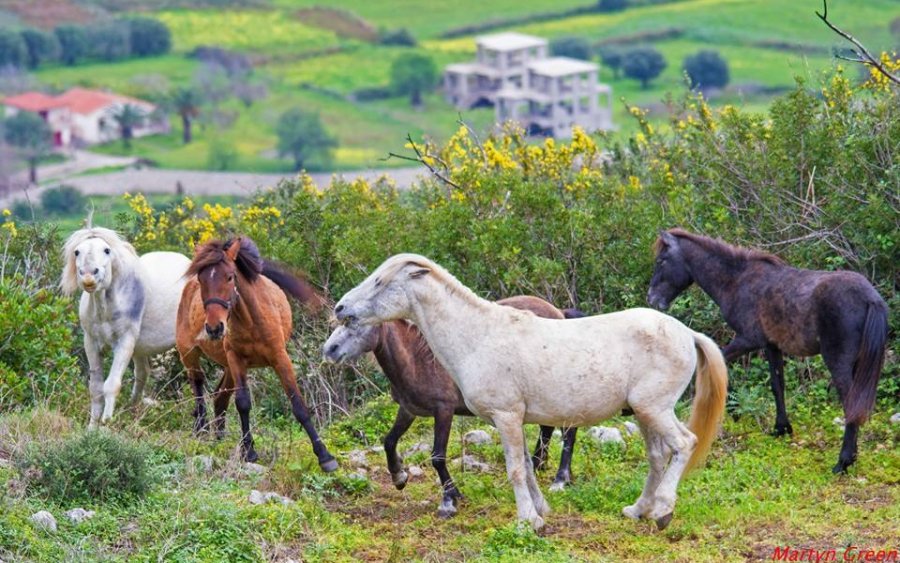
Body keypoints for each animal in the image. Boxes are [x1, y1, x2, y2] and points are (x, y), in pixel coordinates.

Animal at [60, 225, 191, 428]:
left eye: (106, 250)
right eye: (77, 252)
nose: (89, 276)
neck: (105, 308)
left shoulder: (124, 341)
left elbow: (111, 385)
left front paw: (105, 426)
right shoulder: (91, 342)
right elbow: (95, 388)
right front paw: (92, 428)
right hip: (140, 349)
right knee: (142, 373)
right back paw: (133, 412)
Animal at [176, 236, 338, 474]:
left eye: (230, 276)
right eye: (201, 278)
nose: (214, 328)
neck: (251, 320)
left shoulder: (280, 359)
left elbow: (298, 405)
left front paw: (325, 456)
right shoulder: (236, 360)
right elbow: (243, 402)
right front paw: (250, 451)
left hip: (226, 367)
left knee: (219, 396)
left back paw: (218, 439)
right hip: (190, 354)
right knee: (198, 386)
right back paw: (202, 432)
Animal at [324, 298, 584, 516]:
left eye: (355, 321)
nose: (329, 350)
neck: (417, 358)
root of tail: (558, 313)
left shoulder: (444, 411)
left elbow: (437, 457)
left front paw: (449, 499)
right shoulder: (408, 410)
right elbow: (389, 441)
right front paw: (399, 476)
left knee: (568, 431)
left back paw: (560, 479)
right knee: (548, 429)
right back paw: (539, 465)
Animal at [648, 227, 884, 474]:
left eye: (661, 260)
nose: (652, 298)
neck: (737, 280)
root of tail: (870, 298)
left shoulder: (748, 340)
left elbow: (720, 362)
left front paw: (734, 410)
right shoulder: (771, 345)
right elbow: (777, 386)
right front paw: (781, 428)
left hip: (838, 362)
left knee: (850, 403)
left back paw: (843, 461)